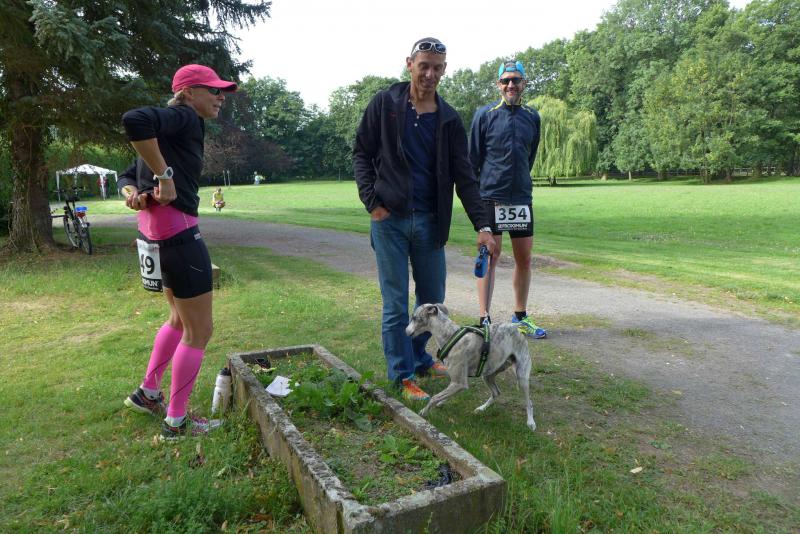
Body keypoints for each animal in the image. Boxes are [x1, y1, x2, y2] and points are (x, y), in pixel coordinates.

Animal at [405, 303, 536, 431]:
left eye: (414, 318)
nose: (405, 331)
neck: (450, 335)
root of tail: (517, 327)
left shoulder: (459, 382)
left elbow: (435, 397)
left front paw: (424, 411)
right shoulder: (457, 381)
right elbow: (445, 394)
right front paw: (442, 401)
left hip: (522, 377)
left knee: (529, 402)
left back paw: (530, 422)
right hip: (488, 375)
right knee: (496, 393)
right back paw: (481, 408)